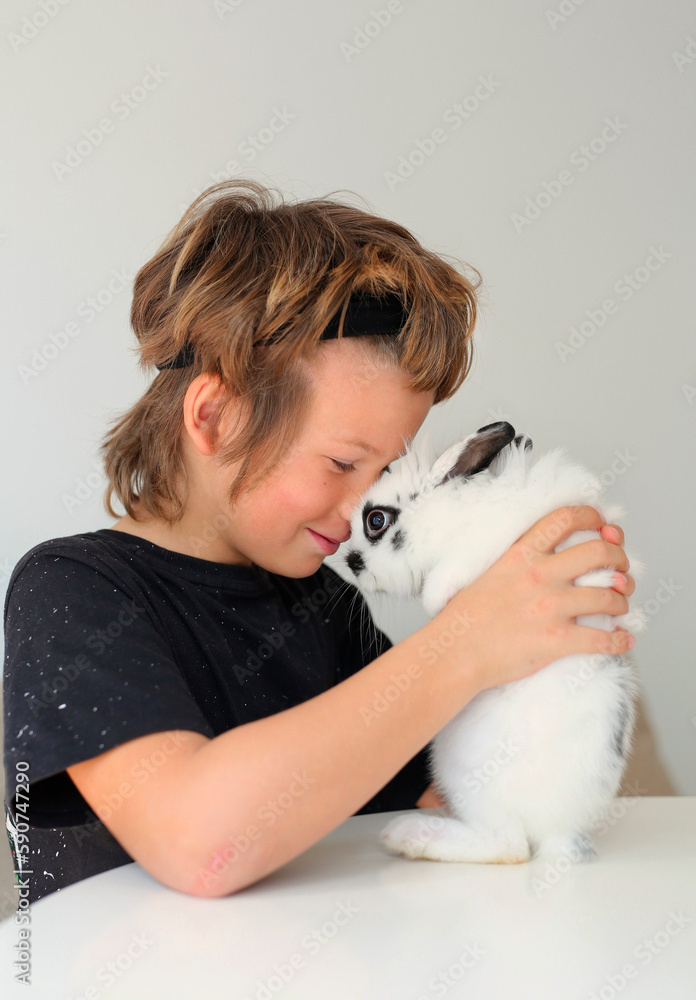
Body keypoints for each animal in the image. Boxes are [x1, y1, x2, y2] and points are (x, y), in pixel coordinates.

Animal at [342, 421, 648, 865]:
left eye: (376, 520)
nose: (350, 565)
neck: (457, 513)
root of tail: (557, 833)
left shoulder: (488, 539)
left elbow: (456, 568)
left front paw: (435, 598)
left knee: (510, 846)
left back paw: (407, 835)